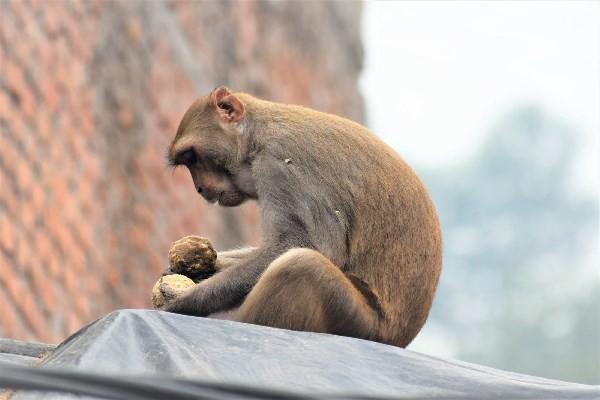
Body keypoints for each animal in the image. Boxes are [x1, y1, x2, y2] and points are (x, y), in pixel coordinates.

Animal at [163, 86, 440, 346]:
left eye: (191, 156)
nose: (200, 188)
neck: (258, 136)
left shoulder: (280, 166)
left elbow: (305, 244)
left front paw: (184, 301)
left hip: (357, 321)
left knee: (302, 265)